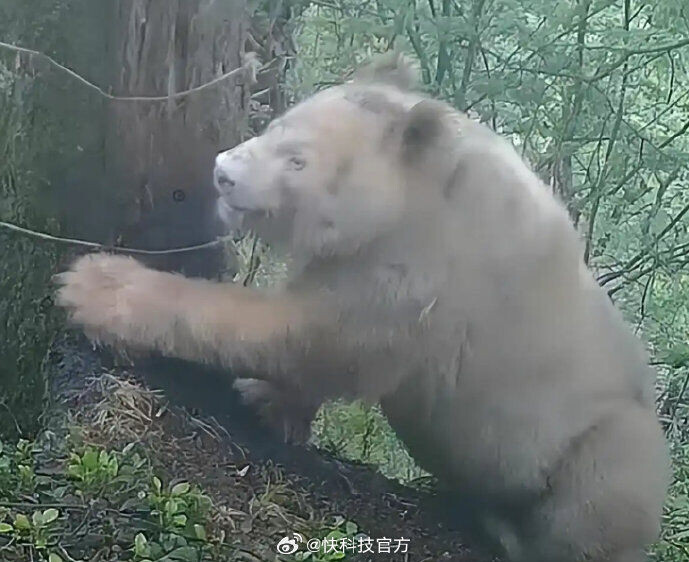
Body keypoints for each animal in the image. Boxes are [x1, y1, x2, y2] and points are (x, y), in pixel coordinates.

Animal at [56, 52, 669, 562]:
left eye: (298, 160)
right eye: (277, 125)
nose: (224, 172)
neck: (434, 188)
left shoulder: (428, 273)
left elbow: (314, 334)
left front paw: (96, 287)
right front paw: (273, 404)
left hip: (603, 440)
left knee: (594, 502)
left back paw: (512, 530)